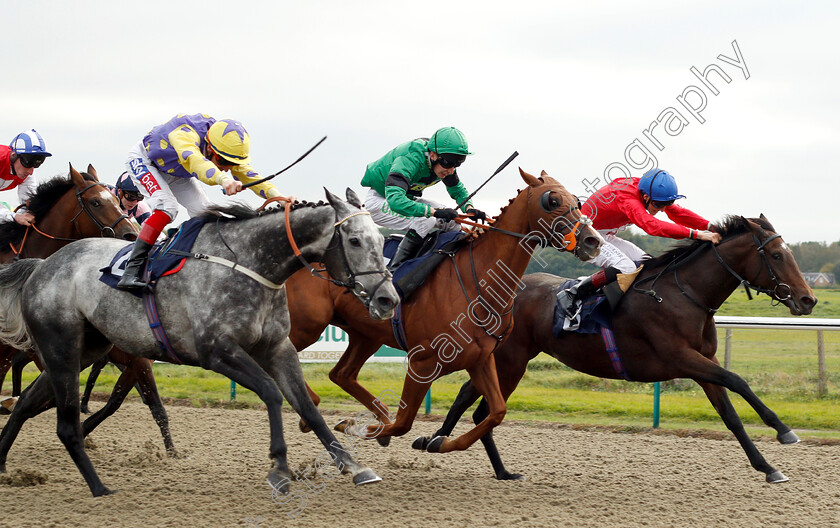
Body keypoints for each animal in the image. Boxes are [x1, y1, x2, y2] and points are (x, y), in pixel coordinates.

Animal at [0, 188, 400, 498]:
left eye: (382, 241)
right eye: (354, 241)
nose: (388, 299)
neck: (251, 264)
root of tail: (42, 266)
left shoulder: (277, 348)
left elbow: (307, 407)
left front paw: (354, 466)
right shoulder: (216, 352)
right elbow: (272, 394)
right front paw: (279, 470)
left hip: (84, 350)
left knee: (28, 402)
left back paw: (4, 464)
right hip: (61, 348)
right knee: (65, 424)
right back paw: (99, 488)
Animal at [288, 170, 604, 454]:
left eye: (576, 201)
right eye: (552, 200)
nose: (593, 241)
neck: (477, 283)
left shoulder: (480, 359)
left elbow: (497, 412)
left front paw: (438, 442)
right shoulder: (422, 362)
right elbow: (403, 423)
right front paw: (356, 426)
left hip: (366, 334)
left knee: (341, 374)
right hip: (308, 326)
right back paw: (313, 409)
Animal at [410, 213, 816, 482]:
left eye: (790, 253)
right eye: (776, 256)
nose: (808, 300)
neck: (685, 293)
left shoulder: (703, 361)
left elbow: (730, 414)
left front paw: (768, 467)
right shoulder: (682, 358)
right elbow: (738, 381)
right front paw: (783, 429)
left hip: (506, 359)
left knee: (471, 398)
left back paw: (470, 455)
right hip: (512, 360)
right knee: (482, 408)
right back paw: (446, 443)